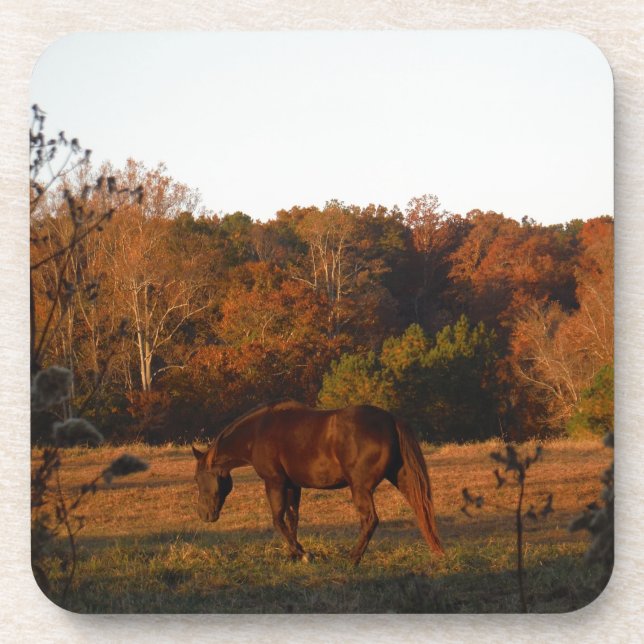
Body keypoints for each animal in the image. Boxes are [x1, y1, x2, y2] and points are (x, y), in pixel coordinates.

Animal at [191, 400, 443, 564]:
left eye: (197, 478)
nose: (204, 515)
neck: (258, 432)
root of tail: (391, 420)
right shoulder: (292, 485)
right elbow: (292, 519)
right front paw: (294, 554)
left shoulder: (274, 482)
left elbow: (277, 520)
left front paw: (303, 554)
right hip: (402, 479)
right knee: (421, 509)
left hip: (360, 488)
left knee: (370, 520)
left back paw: (352, 559)